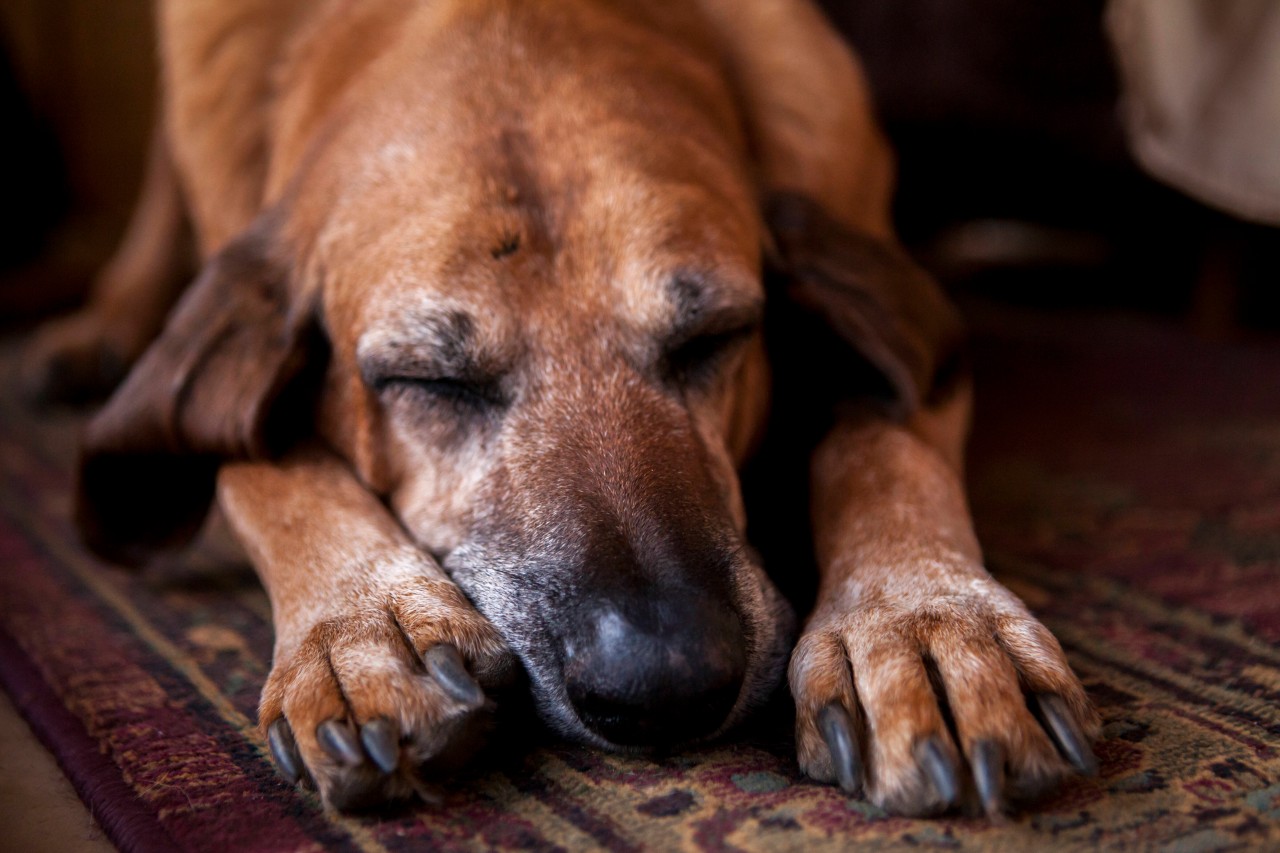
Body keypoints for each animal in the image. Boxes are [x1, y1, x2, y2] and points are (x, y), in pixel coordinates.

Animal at [24, 0, 1095, 814]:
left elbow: (882, 447)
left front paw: (922, 623)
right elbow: (255, 464)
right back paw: (98, 324)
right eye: (430, 381)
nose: (665, 683)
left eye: (714, 338)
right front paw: (359, 629)